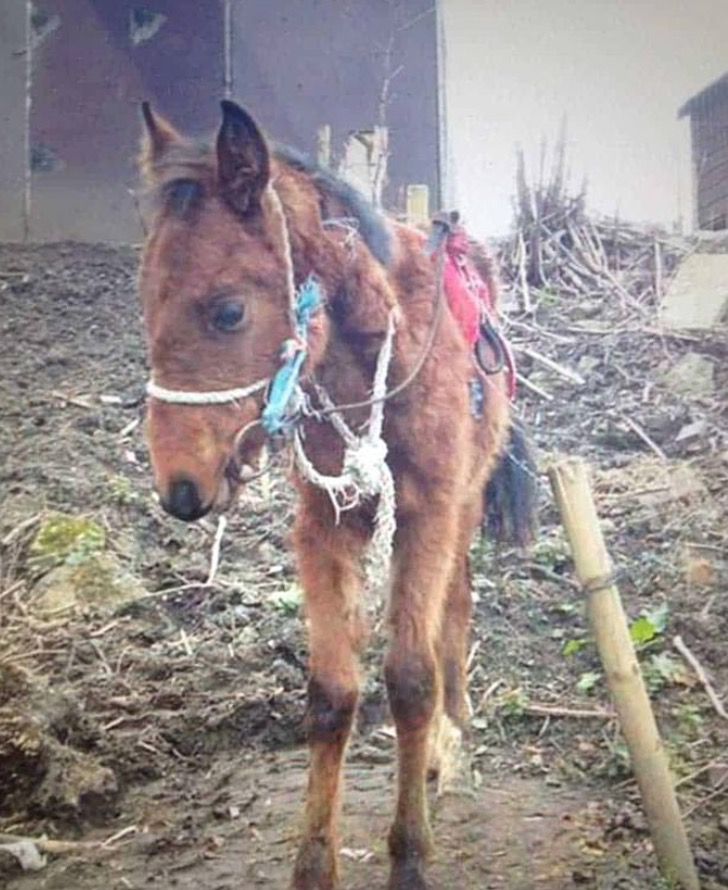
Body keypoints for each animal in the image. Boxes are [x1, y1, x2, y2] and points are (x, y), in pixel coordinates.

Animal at [136, 100, 536, 884]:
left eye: (228, 312)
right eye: (144, 303)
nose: (181, 489)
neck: (376, 359)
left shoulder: (429, 514)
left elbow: (410, 679)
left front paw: (409, 854)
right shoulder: (323, 525)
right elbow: (331, 695)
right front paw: (313, 864)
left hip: (463, 506)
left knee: (455, 608)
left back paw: (452, 739)